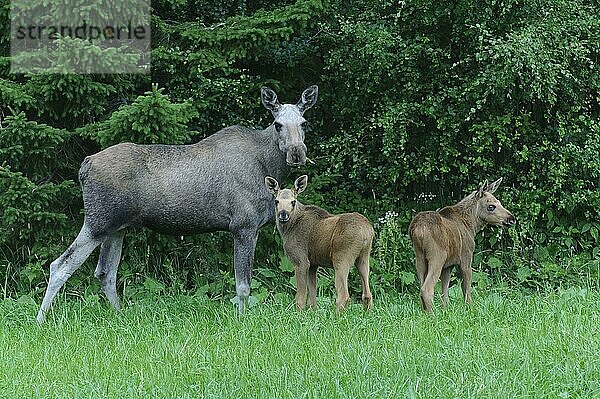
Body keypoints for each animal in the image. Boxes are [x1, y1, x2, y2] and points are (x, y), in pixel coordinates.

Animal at [35, 86, 318, 324]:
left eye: (304, 123)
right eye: (278, 124)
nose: (297, 153)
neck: (268, 165)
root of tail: (85, 165)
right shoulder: (243, 226)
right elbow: (243, 286)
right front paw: (241, 320)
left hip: (117, 228)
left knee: (105, 273)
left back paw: (120, 316)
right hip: (98, 221)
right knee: (60, 265)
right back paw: (40, 320)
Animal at [264, 175, 372, 312]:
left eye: (293, 202)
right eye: (276, 201)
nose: (283, 215)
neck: (287, 230)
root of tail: (366, 232)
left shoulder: (301, 261)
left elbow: (300, 297)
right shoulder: (313, 264)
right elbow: (312, 297)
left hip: (342, 257)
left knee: (344, 295)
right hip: (363, 257)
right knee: (367, 294)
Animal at [408, 178, 516, 312]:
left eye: (500, 203)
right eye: (491, 206)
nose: (511, 219)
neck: (472, 225)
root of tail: (418, 230)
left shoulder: (448, 266)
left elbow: (445, 291)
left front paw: (446, 310)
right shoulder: (466, 258)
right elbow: (466, 289)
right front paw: (470, 308)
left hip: (419, 258)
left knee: (421, 287)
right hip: (437, 256)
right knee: (426, 288)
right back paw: (432, 314)